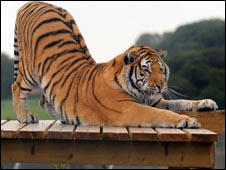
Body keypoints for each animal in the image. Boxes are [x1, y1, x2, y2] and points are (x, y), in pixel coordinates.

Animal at [11, 1, 217, 128]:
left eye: (161, 69)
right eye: (146, 69)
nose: (160, 86)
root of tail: (34, 3)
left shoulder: (156, 101)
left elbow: (180, 102)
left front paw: (206, 103)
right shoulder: (128, 109)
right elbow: (162, 114)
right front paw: (187, 120)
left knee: (43, 99)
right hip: (28, 69)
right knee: (17, 86)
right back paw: (26, 116)